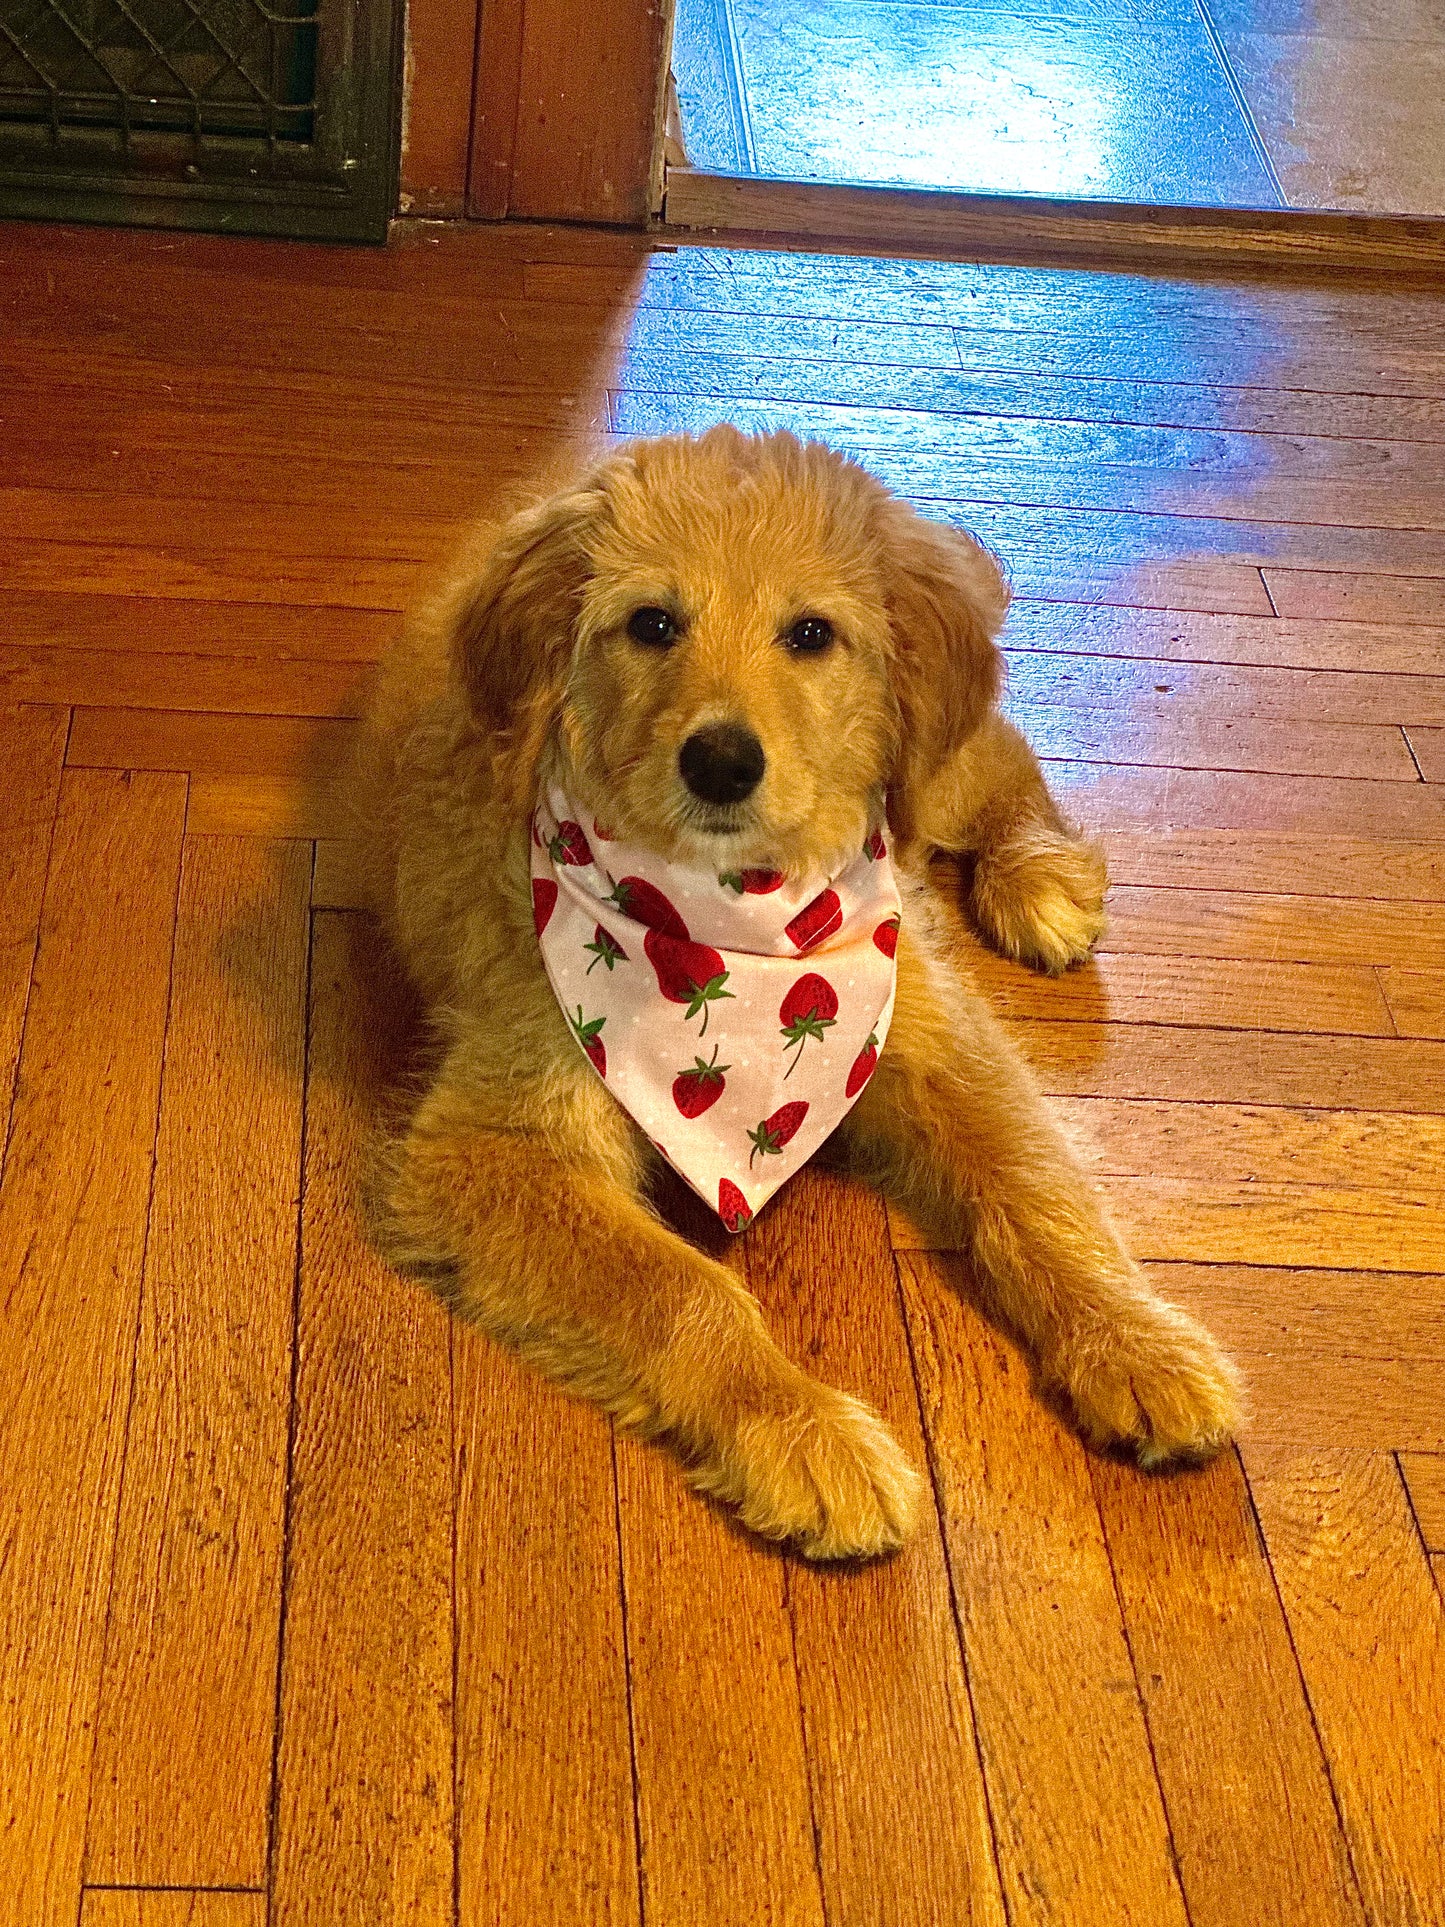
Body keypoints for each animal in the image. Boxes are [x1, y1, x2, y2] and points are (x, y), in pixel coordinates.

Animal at [354, 429, 1248, 1557]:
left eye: (811, 633)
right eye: (651, 623)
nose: (720, 762)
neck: (726, 932)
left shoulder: (932, 1030)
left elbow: (1035, 1185)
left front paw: (1134, 1339)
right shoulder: (487, 1146)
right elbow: (680, 1289)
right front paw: (801, 1429)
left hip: (931, 775)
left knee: (998, 757)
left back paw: (1038, 875)